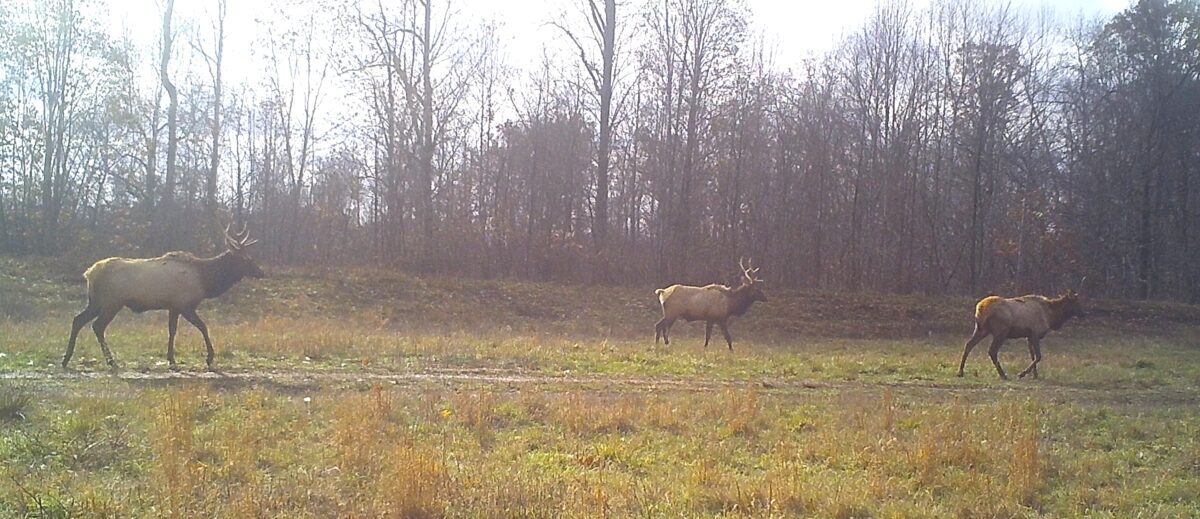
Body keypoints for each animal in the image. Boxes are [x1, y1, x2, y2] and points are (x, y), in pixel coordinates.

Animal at [63, 223, 265, 371]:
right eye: (247, 259)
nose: (261, 272)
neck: (206, 280)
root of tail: (89, 273)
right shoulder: (185, 304)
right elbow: (203, 327)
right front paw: (209, 358)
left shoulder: (173, 306)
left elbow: (172, 330)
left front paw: (171, 359)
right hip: (111, 302)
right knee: (97, 326)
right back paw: (111, 361)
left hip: (96, 302)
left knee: (77, 319)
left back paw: (66, 359)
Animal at [956, 291, 1084, 380]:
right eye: (1076, 303)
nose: (1084, 313)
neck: (1051, 316)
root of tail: (980, 308)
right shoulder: (1035, 333)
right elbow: (1038, 356)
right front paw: (1022, 374)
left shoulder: (1029, 336)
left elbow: (1033, 356)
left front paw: (1035, 375)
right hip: (1000, 332)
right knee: (992, 351)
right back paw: (1003, 375)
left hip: (981, 329)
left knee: (968, 344)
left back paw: (960, 372)